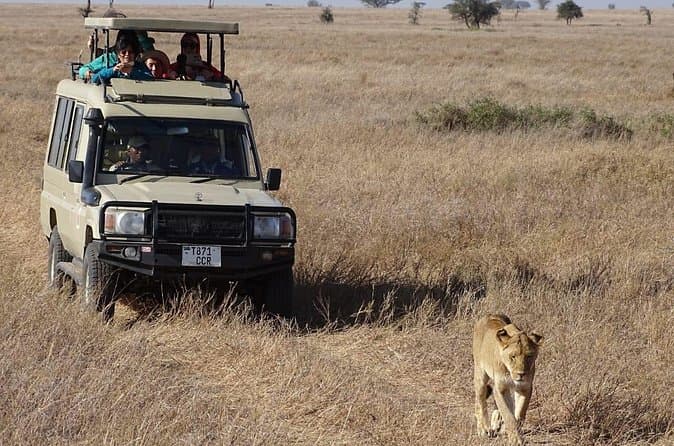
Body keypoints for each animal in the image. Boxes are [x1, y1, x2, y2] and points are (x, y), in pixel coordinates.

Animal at [473, 314, 543, 446]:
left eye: (529, 356)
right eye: (513, 356)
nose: (521, 374)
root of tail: (490, 314)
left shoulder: (525, 387)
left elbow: (519, 413)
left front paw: (510, 431)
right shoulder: (500, 388)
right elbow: (508, 415)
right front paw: (516, 440)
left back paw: (496, 424)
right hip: (480, 373)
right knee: (480, 401)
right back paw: (483, 429)